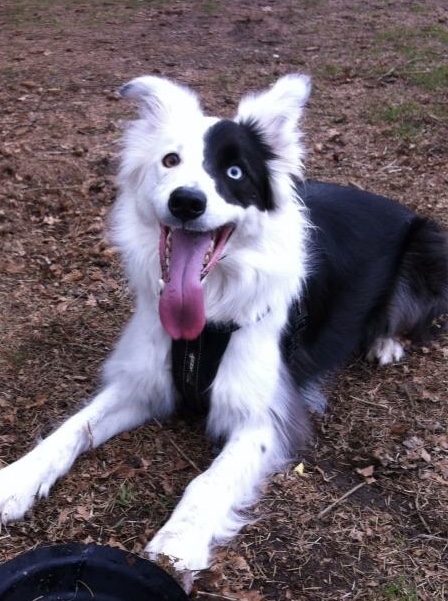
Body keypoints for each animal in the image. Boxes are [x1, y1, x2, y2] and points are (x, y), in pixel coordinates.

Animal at [0, 74, 447, 583]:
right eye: (169, 161)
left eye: (234, 173)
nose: (187, 201)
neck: (207, 318)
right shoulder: (142, 386)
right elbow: (73, 428)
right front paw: (15, 480)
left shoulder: (265, 418)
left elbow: (208, 481)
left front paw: (175, 544)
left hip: (428, 246)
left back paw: (387, 343)